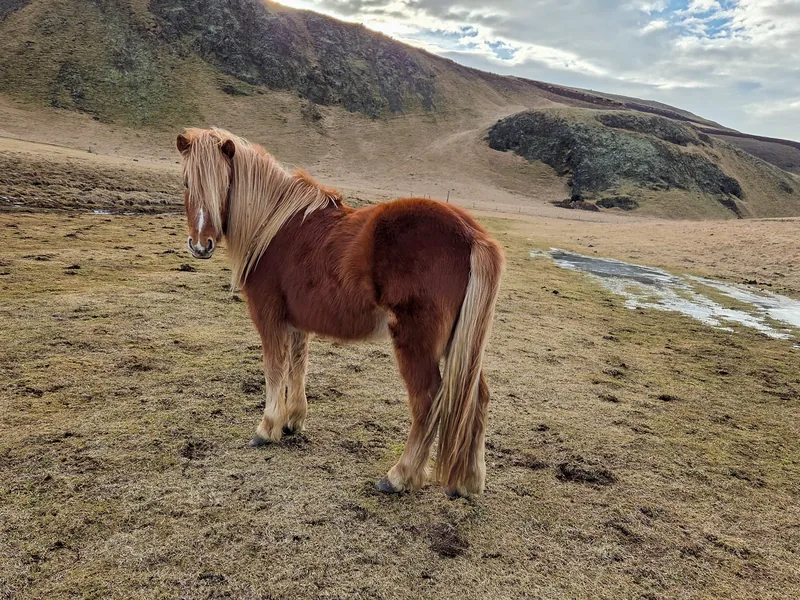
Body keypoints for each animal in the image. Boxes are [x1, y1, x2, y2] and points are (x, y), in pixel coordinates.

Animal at [176, 127, 504, 497]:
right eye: (186, 182)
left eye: (221, 184)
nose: (200, 245)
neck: (272, 225)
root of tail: (472, 234)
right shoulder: (297, 322)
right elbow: (297, 366)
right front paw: (293, 421)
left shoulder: (268, 316)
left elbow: (274, 368)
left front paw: (267, 428)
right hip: (461, 344)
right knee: (477, 397)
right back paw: (469, 481)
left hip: (417, 343)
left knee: (427, 400)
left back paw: (399, 476)